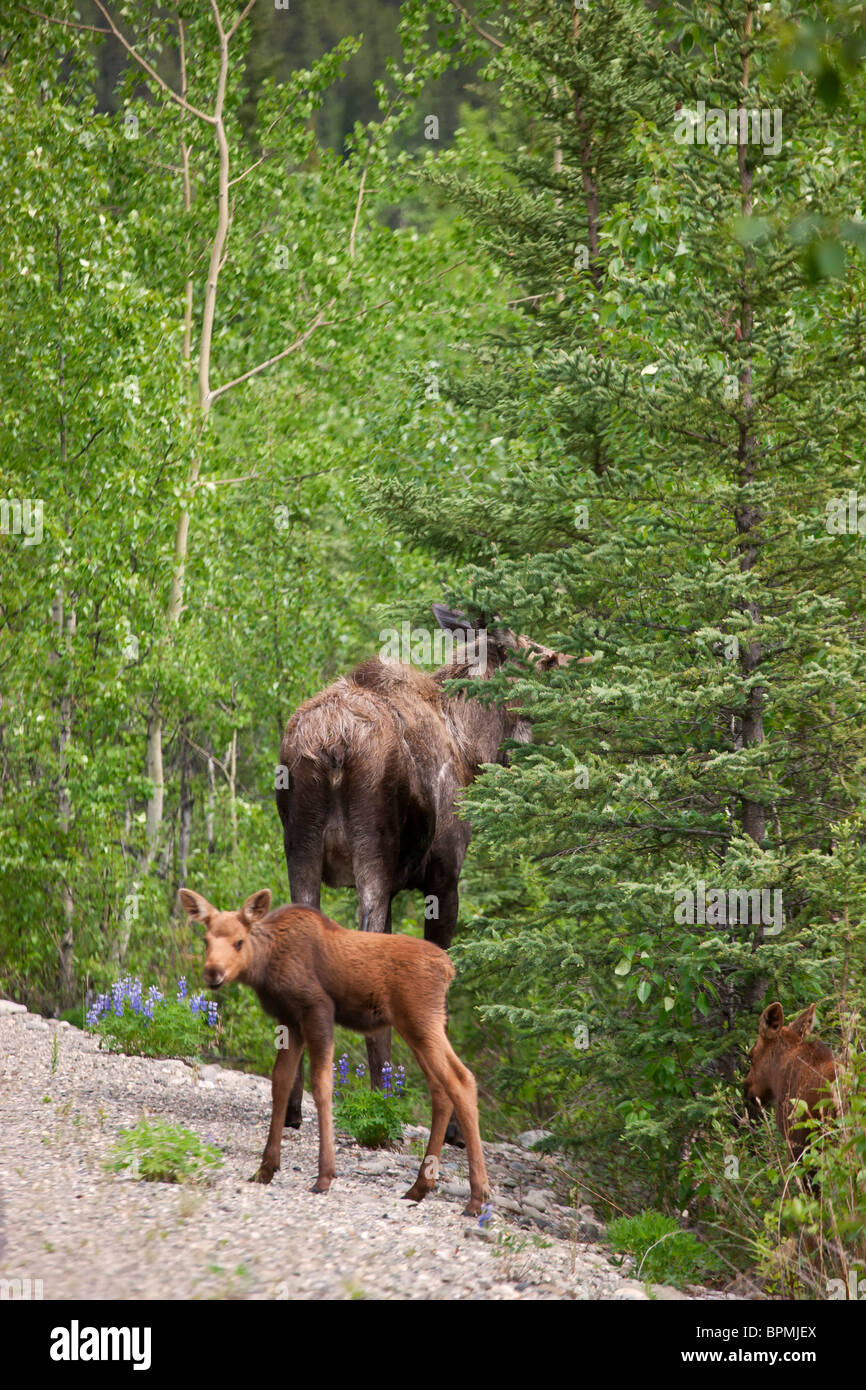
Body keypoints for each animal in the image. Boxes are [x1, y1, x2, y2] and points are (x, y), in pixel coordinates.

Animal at [179, 889, 492, 1217]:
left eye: (239, 941)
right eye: (206, 940)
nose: (213, 973)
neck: (265, 966)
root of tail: (449, 969)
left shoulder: (318, 1009)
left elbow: (321, 1084)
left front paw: (324, 1176)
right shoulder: (289, 1020)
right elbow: (281, 1083)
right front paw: (265, 1168)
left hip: (422, 1021)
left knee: (461, 1080)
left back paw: (477, 1197)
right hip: (416, 1027)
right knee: (440, 1090)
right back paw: (420, 1187)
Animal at [273, 603, 578, 1123]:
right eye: (539, 655)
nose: (572, 662)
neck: (472, 745)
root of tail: (332, 746)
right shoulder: (444, 879)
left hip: (302, 849)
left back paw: (295, 1107)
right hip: (371, 854)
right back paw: (383, 1107)